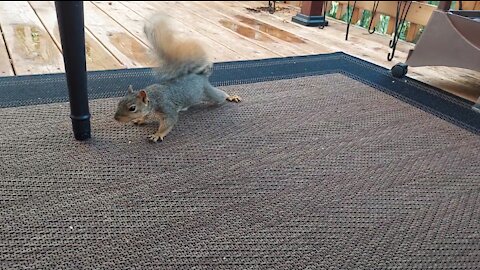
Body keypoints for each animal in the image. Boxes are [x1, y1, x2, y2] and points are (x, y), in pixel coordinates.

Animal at [112, 12, 240, 142]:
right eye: (119, 102)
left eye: (132, 108)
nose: (116, 118)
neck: (153, 99)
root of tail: (200, 75)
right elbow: (146, 117)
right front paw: (140, 120)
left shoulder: (167, 108)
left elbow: (169, 122)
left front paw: (157, 134)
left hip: (208, 92)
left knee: (220, 96)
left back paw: (231, 97)